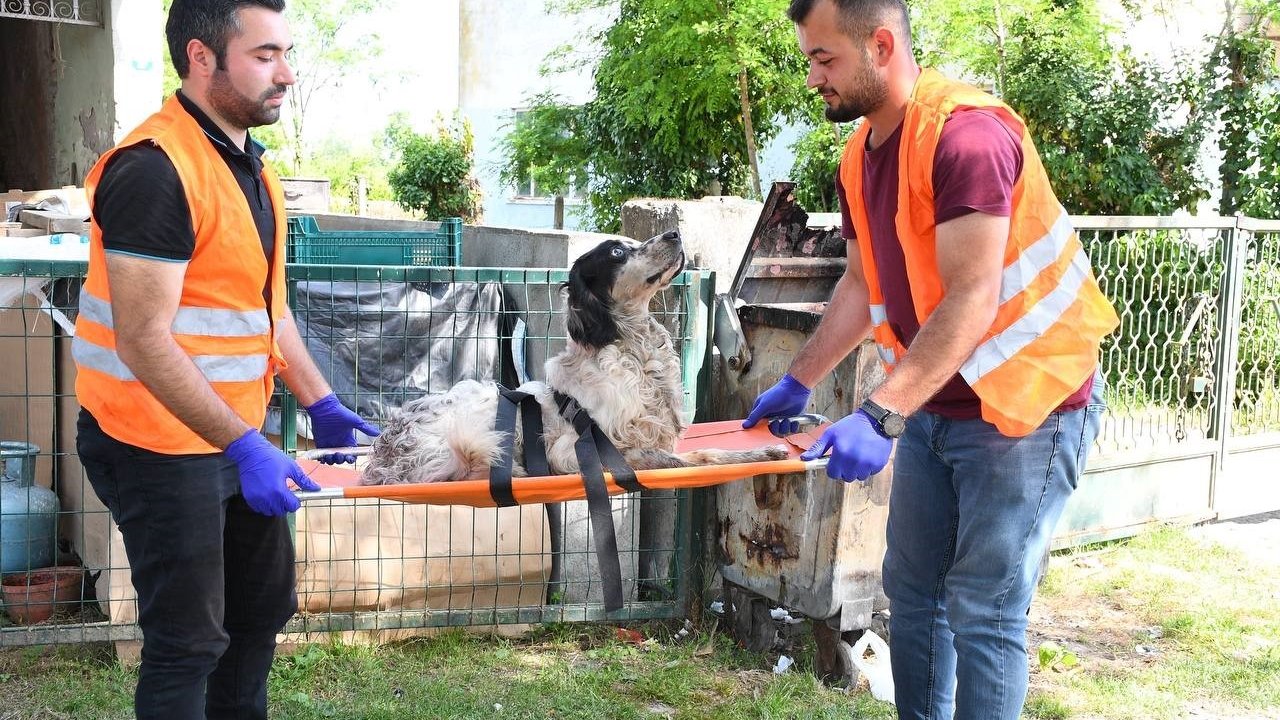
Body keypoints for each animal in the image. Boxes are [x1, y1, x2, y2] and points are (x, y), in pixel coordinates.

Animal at [360, 229, 788, 484]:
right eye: (617, 252)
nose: (674, 232)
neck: (633, 352)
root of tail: (382, 457)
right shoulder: (576, 454)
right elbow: (675, 460)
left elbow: (707, 452)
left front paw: (762, 452)